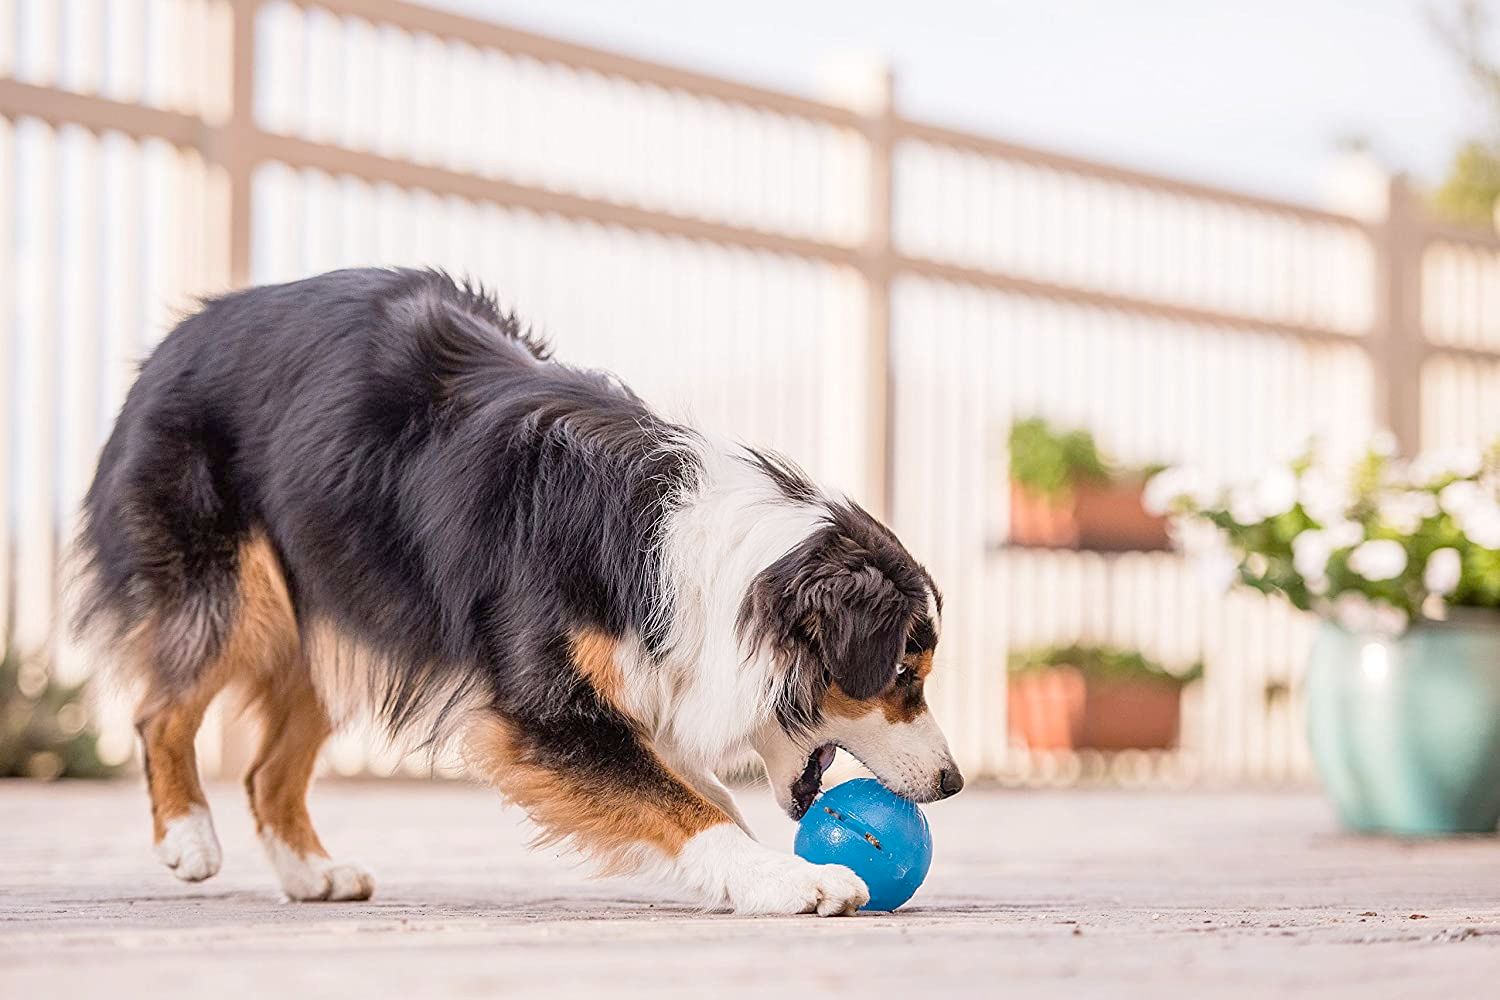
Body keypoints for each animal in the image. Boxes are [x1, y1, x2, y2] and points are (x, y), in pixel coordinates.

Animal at [70, 263, 960, 917]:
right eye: (903, 675)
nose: (953, 783)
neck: (712, 562)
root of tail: (177, 333)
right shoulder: (542, 710)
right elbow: (681, 799)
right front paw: (786, 877)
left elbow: (681, 785)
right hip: (234, 588)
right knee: (160, 711)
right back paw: (188, 838)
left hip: (346, 604)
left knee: (265, 769)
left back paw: (309, 873)